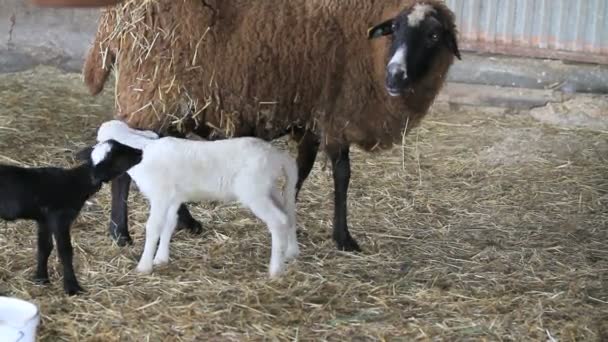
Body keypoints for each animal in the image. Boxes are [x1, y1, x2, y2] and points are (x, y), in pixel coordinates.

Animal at [82, 0, 460, 251]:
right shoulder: (335, 113)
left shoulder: (311, 119)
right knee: (125, 160)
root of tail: (114, 18)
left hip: (173, 104)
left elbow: (301, 170)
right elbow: (342, 175)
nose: (396, 76)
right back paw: (120, 233)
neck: (371, 50)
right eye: (395, 29)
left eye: (434, 36)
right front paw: (344, 238)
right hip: (150, 94)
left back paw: (185, 222)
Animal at [90, 121, 300, 276]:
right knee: (288, 215)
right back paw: (290, 252)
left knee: (278, 220)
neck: (141, 152)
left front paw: (144, 266)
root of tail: (277, 156)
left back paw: (275, 270)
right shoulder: (173, 199)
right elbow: (169, 225)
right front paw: (161, 259)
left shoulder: (160, 196)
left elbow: (154, 227)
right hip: (269, 189)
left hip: (254, 191)